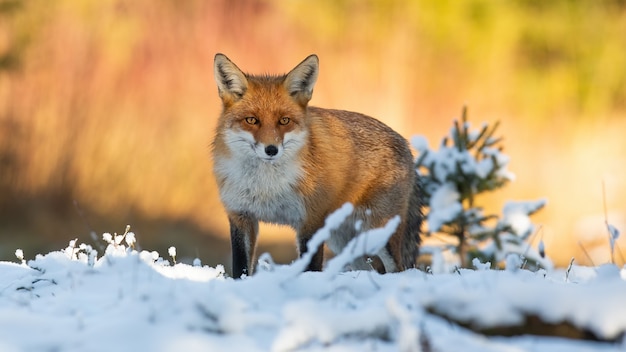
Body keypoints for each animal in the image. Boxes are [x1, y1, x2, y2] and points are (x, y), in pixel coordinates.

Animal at [212, 53, 422, 278]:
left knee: (397, 269)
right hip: (342, 239)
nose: (271, 150)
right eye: (251, 120)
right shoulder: (240, 217)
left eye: (284, 121)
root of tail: (405, 143)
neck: (267, 187)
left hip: (378, 232)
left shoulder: (311, 221)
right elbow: (240, 269)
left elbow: (311, 267)